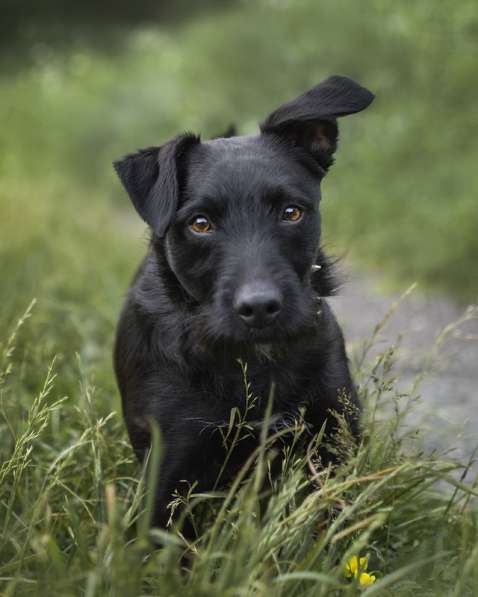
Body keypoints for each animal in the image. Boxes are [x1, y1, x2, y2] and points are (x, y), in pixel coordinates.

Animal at [112, 75, 374, 532]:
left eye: (291, 212)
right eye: (200, 224)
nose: (260, 307)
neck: (253, 361)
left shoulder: (334, 441)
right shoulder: (169, 474)